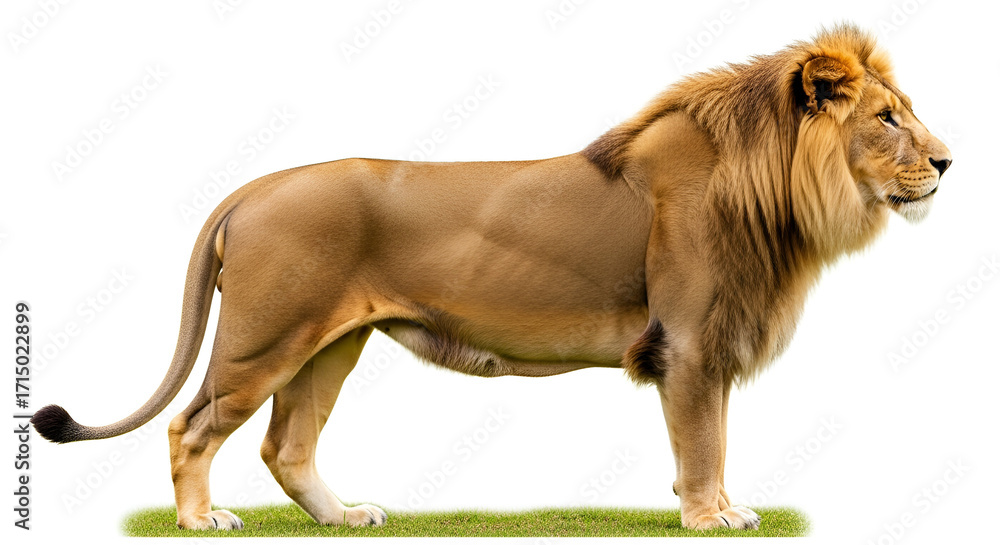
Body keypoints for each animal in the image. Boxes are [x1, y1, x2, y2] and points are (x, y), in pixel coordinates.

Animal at [33, 24, 951, 532]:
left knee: (284, 445)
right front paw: (709, 517)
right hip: (264, 338)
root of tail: (251, 187)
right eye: (886, 118)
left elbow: (714, 439)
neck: (773, 193)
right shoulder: (688, 346)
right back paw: (200, 519)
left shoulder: (710, 348)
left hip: (329, 347)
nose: (948, 161)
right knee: (191, 428)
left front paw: (719, 507)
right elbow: (702, 442)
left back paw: (347, 517)